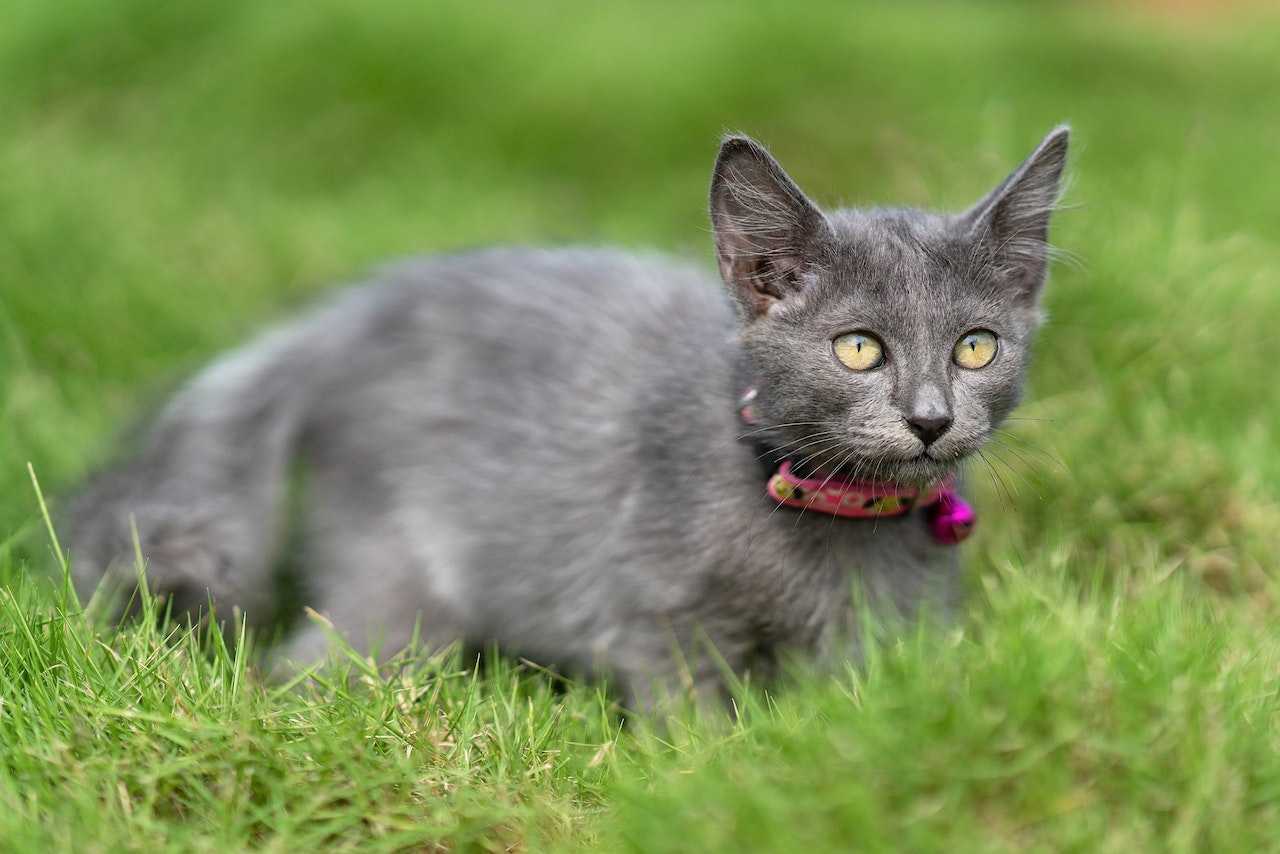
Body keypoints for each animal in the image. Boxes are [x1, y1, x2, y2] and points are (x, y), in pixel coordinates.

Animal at [67, 130, 1070, 706]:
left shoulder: (892, 635)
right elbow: (692, 720)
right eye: (858, 349)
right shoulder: (656, 621)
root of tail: (348, 321)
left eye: (975, 348)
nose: (930, 419)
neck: (834, 523)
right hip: (399, 586)